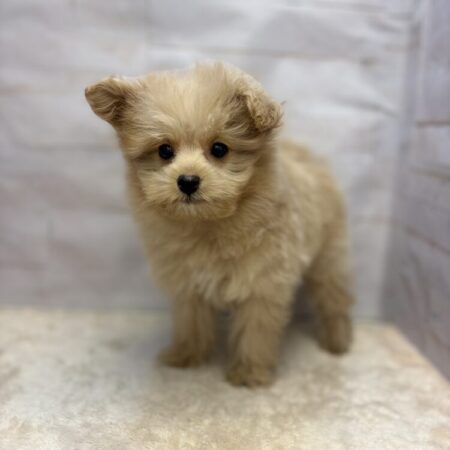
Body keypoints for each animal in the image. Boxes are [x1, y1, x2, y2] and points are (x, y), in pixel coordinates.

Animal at [85, 62, 354, 387]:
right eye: (164, 151)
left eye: (219, 149)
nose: (188, 180)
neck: (207, 224)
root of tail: (306, 155)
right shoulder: (188, 283)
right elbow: (191, 321)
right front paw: (186, 355)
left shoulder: (261, 283)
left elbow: (255, 330)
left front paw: (249, 373)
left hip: (330, 254)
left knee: (333, 297)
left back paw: (337, 342)